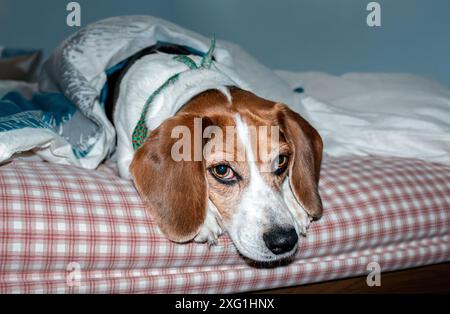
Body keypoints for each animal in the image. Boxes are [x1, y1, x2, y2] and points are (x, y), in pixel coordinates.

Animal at [109, 41, 324, 262]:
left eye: (281, 160)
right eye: (222, 170)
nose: (284, 241)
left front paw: (293, 202)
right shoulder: (124, 162)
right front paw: (205, 219)